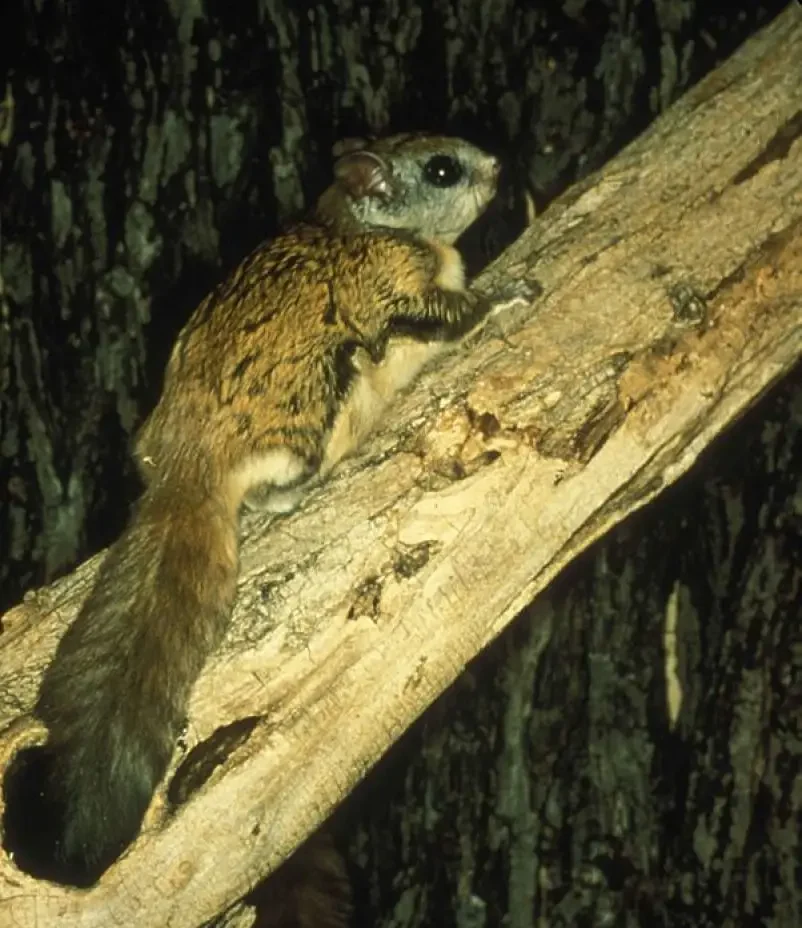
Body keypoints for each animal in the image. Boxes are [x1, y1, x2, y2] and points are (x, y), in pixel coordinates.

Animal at [35, 131, 516, 885]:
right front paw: (507, 297)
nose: (499, 167)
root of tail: (186, 470)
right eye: (443, 168)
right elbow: (452, 314)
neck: (362, 225)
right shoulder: (398, 287)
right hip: (317, 397)